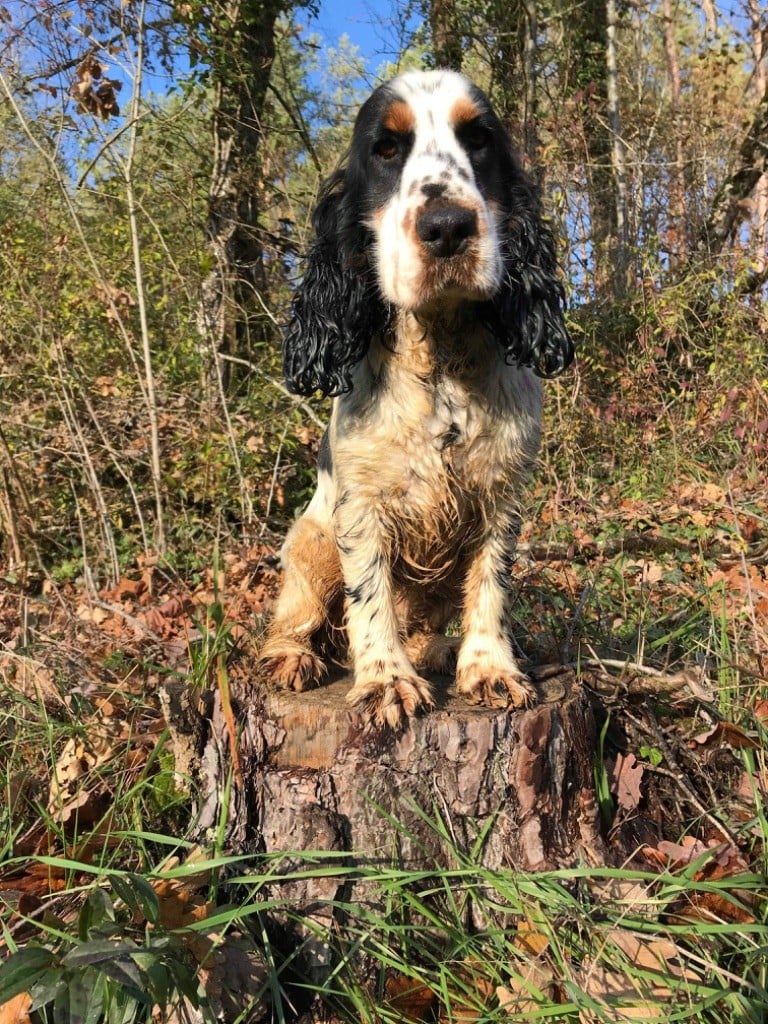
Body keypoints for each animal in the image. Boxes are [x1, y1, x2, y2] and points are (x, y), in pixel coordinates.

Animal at [259, 69, 573, 728]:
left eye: (478, 138)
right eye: (385, 148)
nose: (447, 226)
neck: (441, 355)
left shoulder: (500, 494)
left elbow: (491, 587)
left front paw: (491, 668)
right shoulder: (362, 507)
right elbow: (369, 597)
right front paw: (385, 681)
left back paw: (437, 651)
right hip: (310, 542)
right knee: (298, 615)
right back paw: (294, 657)